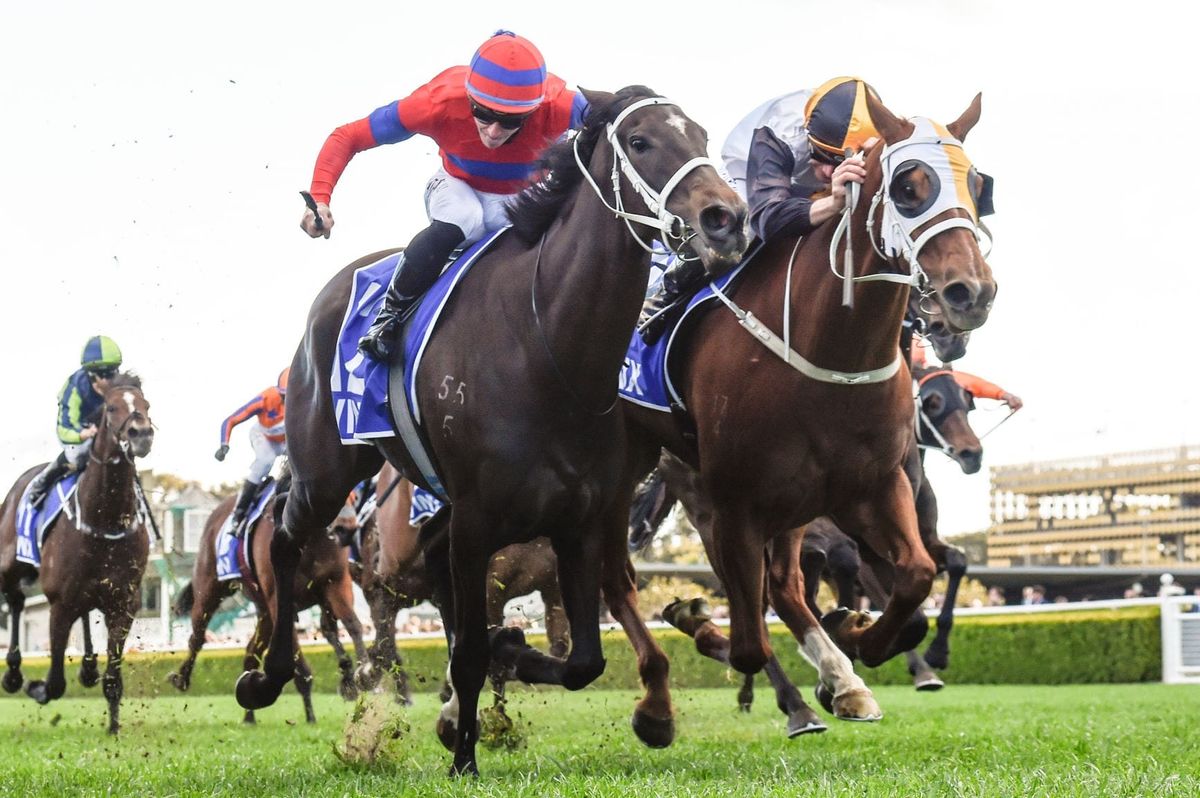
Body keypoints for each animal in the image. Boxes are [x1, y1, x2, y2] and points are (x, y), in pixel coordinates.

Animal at [0, 373, 154, 734]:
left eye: (146, 404)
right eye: (111, 407)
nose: (141, 433)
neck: (104, 517)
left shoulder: (123, 603)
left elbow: (113, 678)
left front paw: (114, 728)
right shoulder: (59, 604)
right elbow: (55, 682)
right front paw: (37, 687)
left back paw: (87, 667)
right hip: (9, 566)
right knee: (15, 601)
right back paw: (13, 673)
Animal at [167, 475, 365, 723]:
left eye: (355, 495)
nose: (346, 529)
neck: (312, 539)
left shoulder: (336, 585)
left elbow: (353, 624)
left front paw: (360, 675)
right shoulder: (278, 599)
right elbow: (298, 659)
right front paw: (311, 714)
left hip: (263, 612)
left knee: (251, 651)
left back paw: (249, 715)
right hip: (210, 588)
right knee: (198, 636)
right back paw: (182, 678)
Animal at [235, 86, 748, 776]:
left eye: (700, 135)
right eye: (640, 142)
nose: (726, 217)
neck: (548, 346)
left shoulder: (579, 521)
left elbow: (580, 660)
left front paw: (507, 667)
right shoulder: (479, 520)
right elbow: (473, 651)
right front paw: (464, 761)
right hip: (326, 470)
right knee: (288, 542)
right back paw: (265, 676)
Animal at [614, 90, 995, 727]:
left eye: (977, 184)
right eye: (908, 186)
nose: (971, 294)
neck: (832, 351)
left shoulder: (873, 486)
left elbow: (917, 581)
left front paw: (859, 637)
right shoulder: (740, 504)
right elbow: (750, 638)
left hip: (789, 504)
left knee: (785, 587)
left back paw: (838, 681)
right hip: (702, 496)